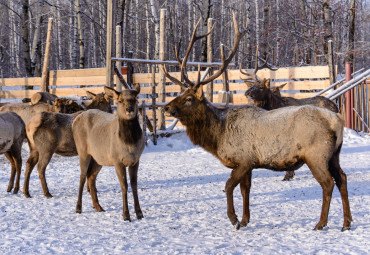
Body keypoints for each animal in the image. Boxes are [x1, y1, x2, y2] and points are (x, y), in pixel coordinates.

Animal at [71, 85, 144, 221]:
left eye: (135, 99)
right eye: (120, 100)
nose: (129, 109)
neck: (130, 144)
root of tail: (75, 120)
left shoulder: (135, 160)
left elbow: (134, 185)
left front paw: (139, 213)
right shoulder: (117, 160)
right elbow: (124, 186)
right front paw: (126, 215)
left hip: (98, 158)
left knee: (91, 176)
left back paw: (98, 206)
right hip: (82, 151)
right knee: (82, 176)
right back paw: (78, 208)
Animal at [163, 11, 352, 231]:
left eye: (189, 98)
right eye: (181, 93)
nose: (166, 107)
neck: (218, 136)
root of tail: (338, 120)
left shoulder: (244, 159)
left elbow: (228, 187)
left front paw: (234, 219)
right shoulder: (249, 164)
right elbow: (245, 190)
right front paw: (245, 220)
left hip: (316, 154)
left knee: (328, 183)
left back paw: (320, 223)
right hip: (334, 155)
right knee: (342, 178)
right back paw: (346, 223)